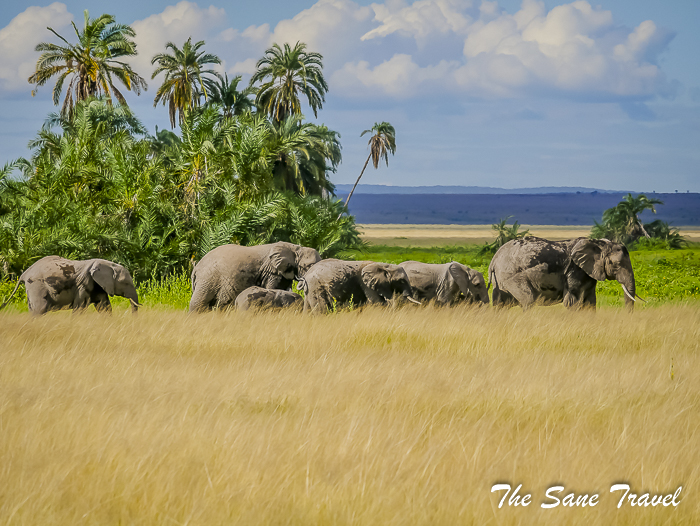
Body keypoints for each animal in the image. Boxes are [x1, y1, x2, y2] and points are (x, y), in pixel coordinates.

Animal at [0, 256, 141, 316]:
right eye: (126, 283)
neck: (108, 264)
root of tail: (24, 274)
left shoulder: (97, 285)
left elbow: (104, 307)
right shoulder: (84, 284)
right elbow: (80, 308)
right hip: (37, 285)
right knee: (40, 309)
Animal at [191, 243, 322, 314]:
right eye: (308, 266)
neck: (296, 248)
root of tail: (195, 268)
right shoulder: (272, 272)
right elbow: (273, 288)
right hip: (207, 279)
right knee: (198, 303)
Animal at [490, 238, 636, 312]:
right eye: (616, 264)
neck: (599, 243)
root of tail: (494, 259)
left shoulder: (588, 272)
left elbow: (590, 302)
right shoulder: (575, 270)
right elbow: (572, 302)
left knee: (500, 303)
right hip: (510, 276)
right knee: (528, 300)